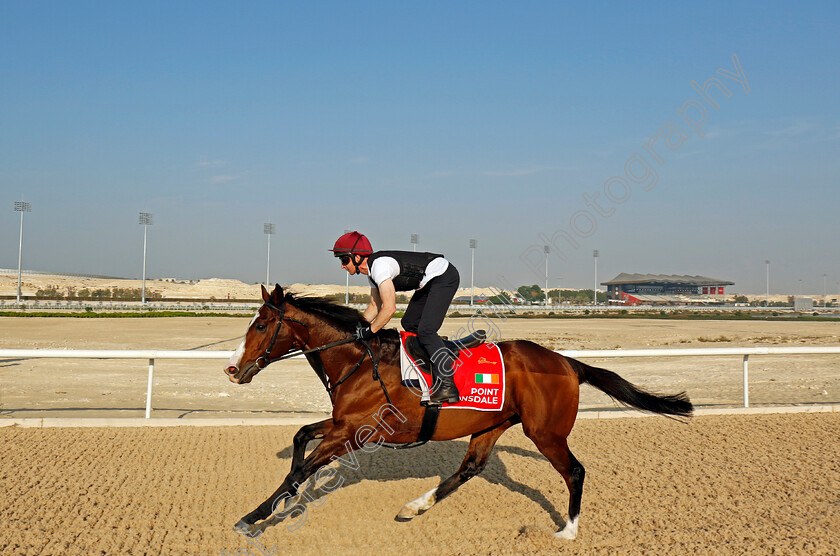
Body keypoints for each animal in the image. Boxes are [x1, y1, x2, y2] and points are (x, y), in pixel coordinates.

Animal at [223, 284, 688, 540]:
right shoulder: (342, 425)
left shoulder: (353, 432)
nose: (233, 368)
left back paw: (568, 530)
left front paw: (253, 517)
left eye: (261, 325)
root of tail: (567, 362)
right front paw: (282, 503)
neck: (359, 361)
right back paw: (414, 506)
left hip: (546, 432)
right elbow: (301, 436)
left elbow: (299, 470)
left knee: (574, 470)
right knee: (470, 468)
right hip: (492, 423)